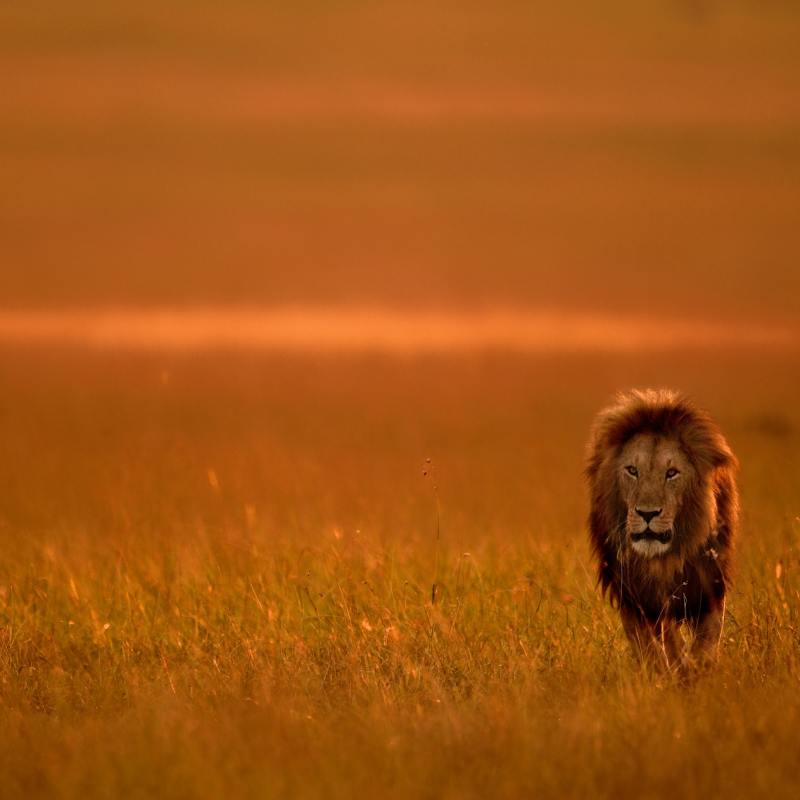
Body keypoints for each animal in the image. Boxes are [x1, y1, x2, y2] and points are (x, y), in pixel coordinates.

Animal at [585, 389, 739, 671]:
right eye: (632, 470)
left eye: (672, 473)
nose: (647, 514)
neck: (663, 560)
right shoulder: (633, 596)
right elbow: (653, 643)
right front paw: (663, 671)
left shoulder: (709, 584)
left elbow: (707, 639)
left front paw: (697, 670)